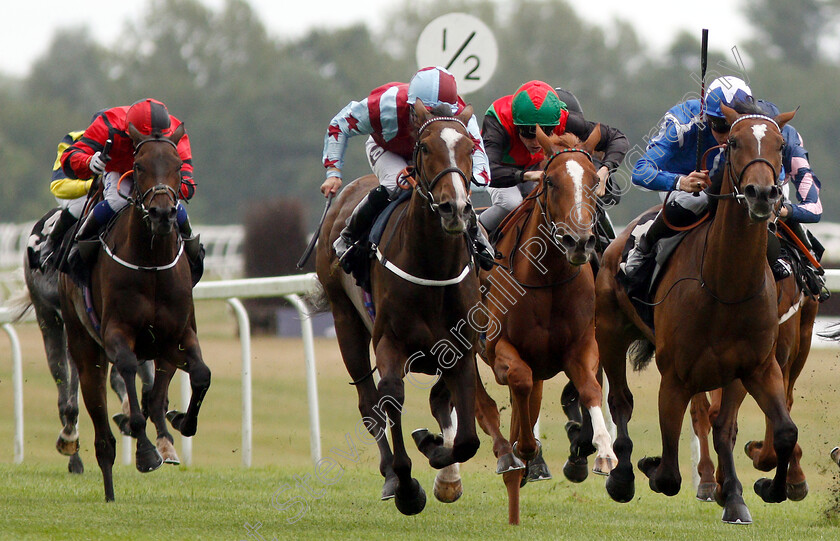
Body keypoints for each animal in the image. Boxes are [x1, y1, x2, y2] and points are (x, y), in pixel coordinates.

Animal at [59, 121, 210, 498]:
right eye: (139, 166)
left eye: (178, 166)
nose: (163, 213)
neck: (151, 261)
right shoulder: (117, 333)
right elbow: (128, 374)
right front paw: (144, 452)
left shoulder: (179, 334)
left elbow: (201, 375)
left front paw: (182, 421)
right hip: (84, 346)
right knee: (101, 427)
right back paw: (110, 484)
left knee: (156, 394)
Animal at [316, 98, 482, 516]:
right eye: (424, 147)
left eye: (470, 148)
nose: (454, 208)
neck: (432, 267)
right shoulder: (390, 342)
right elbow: (390, 397)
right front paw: (408, 486)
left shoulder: (462, 350)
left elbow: (466, 439)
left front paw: (435, 449)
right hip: (345, 321)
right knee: (368, 403)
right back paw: (390, 473)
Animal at [472, 127, 616, 524]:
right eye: (550, 181)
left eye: (593, 180)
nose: (579, 241)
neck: (547, 278)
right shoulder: (500, 350)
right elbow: (518, 382)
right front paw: (523, 451)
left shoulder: (582, 347)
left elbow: (590, 389)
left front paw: (603, 452)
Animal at [596, 104, 800, 524]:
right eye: (734, 142)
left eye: (779, 145)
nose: (761, 194)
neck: (725, 287)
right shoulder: (674, 375)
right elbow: (669, 474)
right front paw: (651, 467)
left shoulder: (755, 366)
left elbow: (773, 430)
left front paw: (751, 492)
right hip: (609, 331)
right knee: (621, 400)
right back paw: (622, 477)